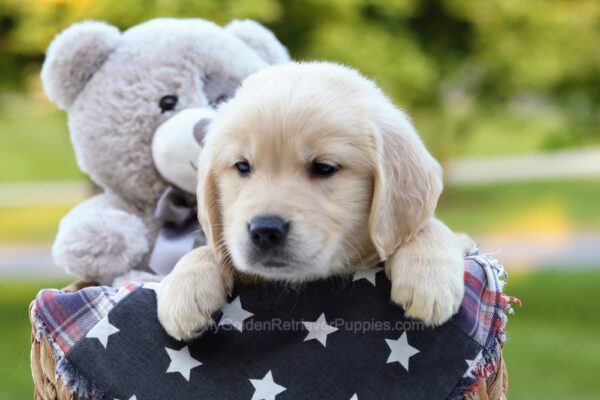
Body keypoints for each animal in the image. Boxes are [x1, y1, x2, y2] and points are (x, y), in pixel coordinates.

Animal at [157, 61, 466, 340]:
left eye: (324, 167)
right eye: (242, 167)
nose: (265, 230)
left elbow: (432, 228)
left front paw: (428, 275)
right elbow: (207, 250)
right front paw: (184, 286)